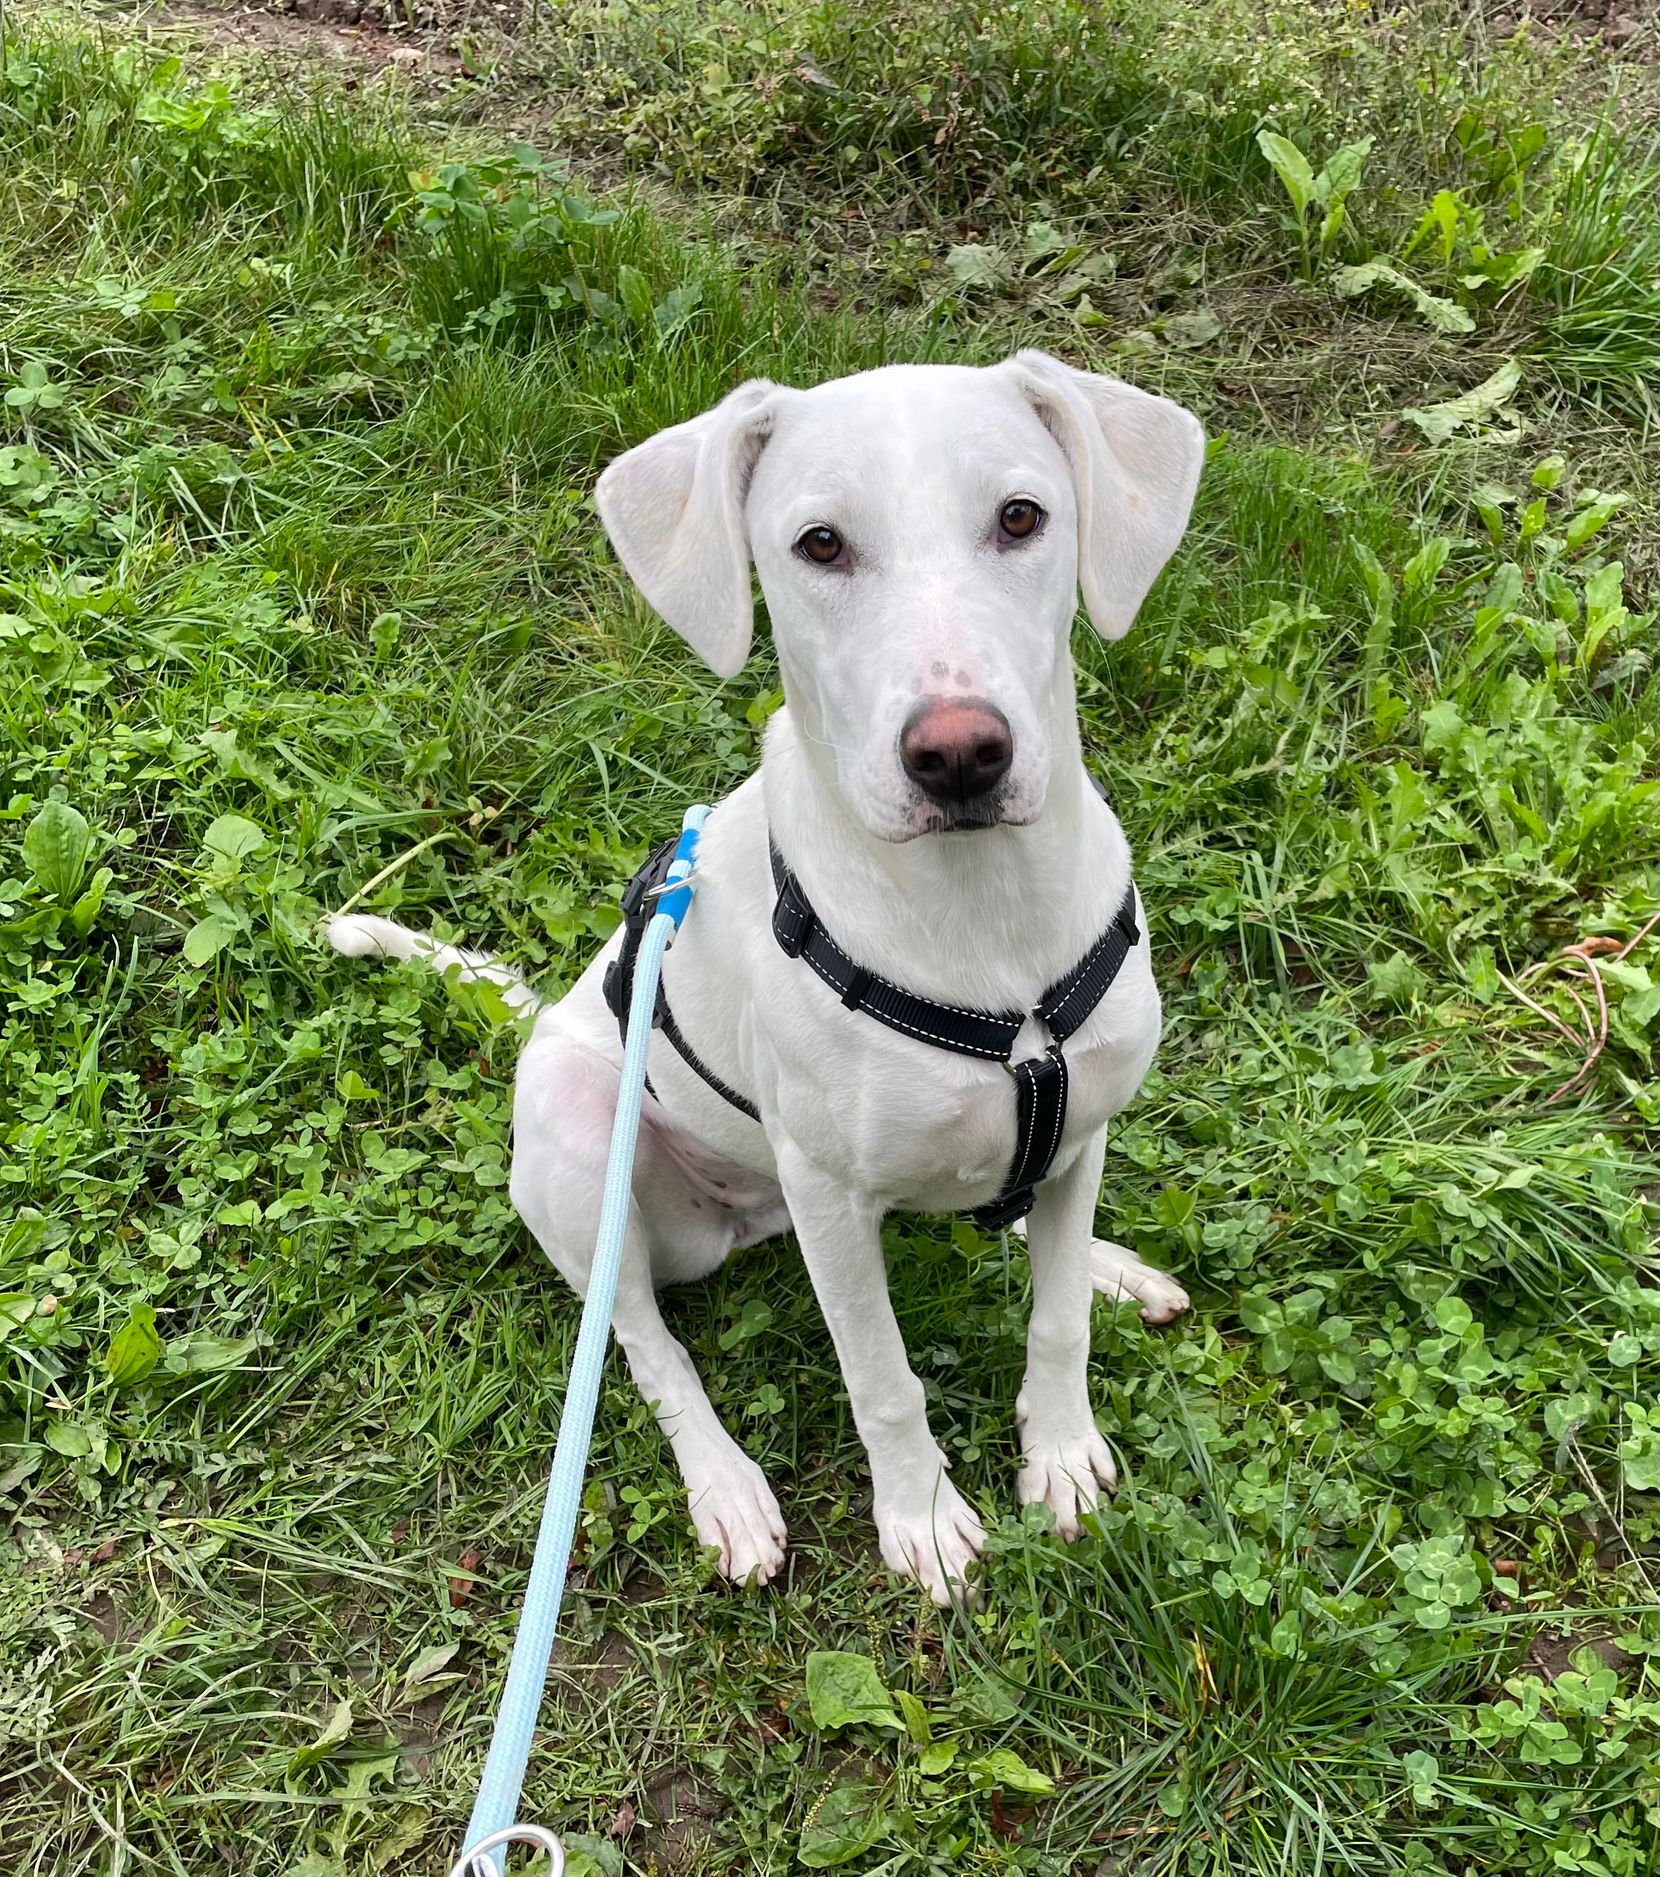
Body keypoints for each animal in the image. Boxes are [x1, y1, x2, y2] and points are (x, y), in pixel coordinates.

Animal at [326, 352, 1209, 1599]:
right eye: (819, 544)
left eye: (1021, 517)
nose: (957, 756)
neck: (981, 915)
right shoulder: (832, 1199)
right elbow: (881, 1374)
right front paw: (919, 1514)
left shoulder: (1077, 1129)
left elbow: (1053, 1317)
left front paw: (1062, 1442)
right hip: (584, 1147)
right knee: (647, 1346)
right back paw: (726, 1487)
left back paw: (1108, 1266)